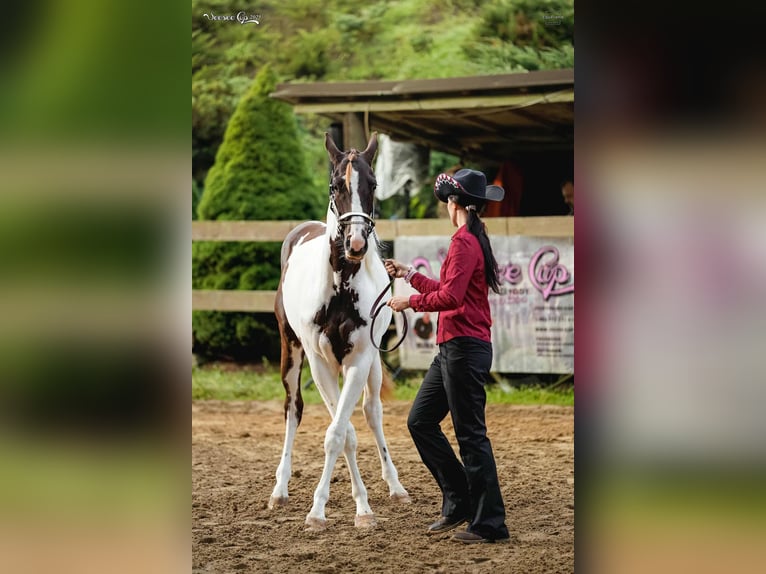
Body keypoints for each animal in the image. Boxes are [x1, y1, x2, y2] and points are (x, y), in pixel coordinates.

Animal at [269, 132, 411, 531]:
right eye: (335, 185)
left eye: (373, 185)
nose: (356, 244)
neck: (340, 289)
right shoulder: (319, 364)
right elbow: (342, 433)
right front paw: (322, 509)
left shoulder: (359, 360)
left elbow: (341, 430)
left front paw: (361, 508)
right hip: (291, 351)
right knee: (293, 407)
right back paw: (280, 489)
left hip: (373, 365)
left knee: (372, 411)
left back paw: (395, 485)